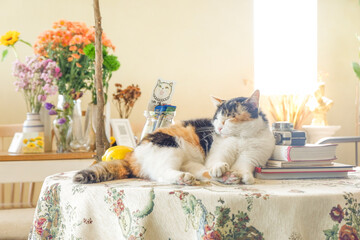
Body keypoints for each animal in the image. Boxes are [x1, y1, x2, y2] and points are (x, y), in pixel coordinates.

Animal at [74, 90, 276, 186]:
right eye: (218, 118)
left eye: (230, 117)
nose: (218, 127)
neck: (241, 138)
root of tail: (131, 155)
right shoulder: (218, 151)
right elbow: (217, 161)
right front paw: (220, 168)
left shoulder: (252, 156)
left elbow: (244, 167)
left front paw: (245, 177)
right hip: (170, 148)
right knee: (161, 174)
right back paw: (185, 178)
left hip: (189, 162)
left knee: (203, 174)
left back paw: (228, 177)